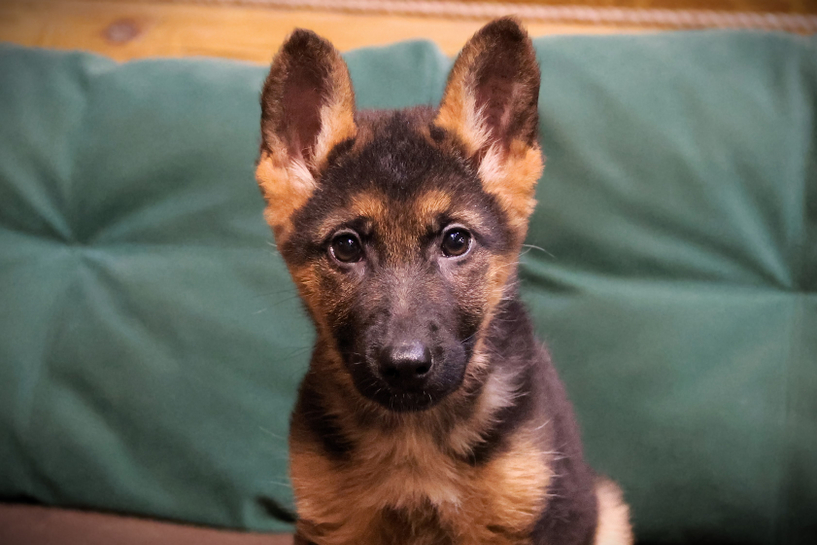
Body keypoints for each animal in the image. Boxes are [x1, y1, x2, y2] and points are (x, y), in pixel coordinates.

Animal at [255, 18, 632, 545]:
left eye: (456, 241)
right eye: (346, 247)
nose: (404, 366)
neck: (414, 436)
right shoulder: (329, 523)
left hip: (609, 509)